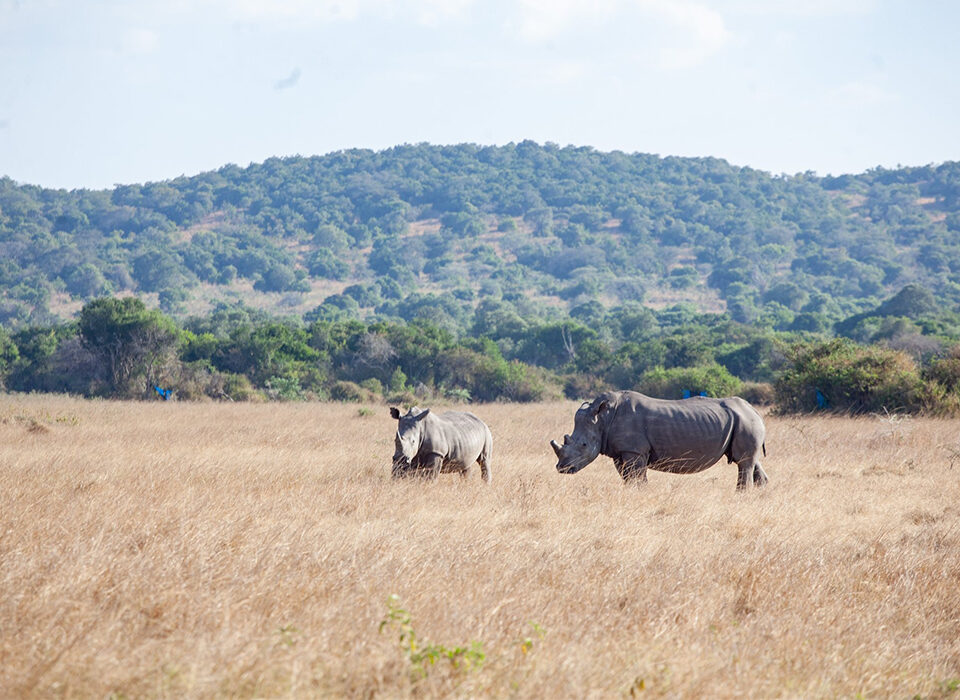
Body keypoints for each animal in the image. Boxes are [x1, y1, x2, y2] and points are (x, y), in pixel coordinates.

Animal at [550, 391, 767, 490]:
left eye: (584, 445)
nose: (562, 468)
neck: (603, 418)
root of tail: (754, 410)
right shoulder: (621, 451)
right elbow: (627, 477)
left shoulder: (634, 450)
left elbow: (636, 477)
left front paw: (640, 494)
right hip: (744, 421)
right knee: (750, 462)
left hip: (746, 421)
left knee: (744, 463)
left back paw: (741, 494)